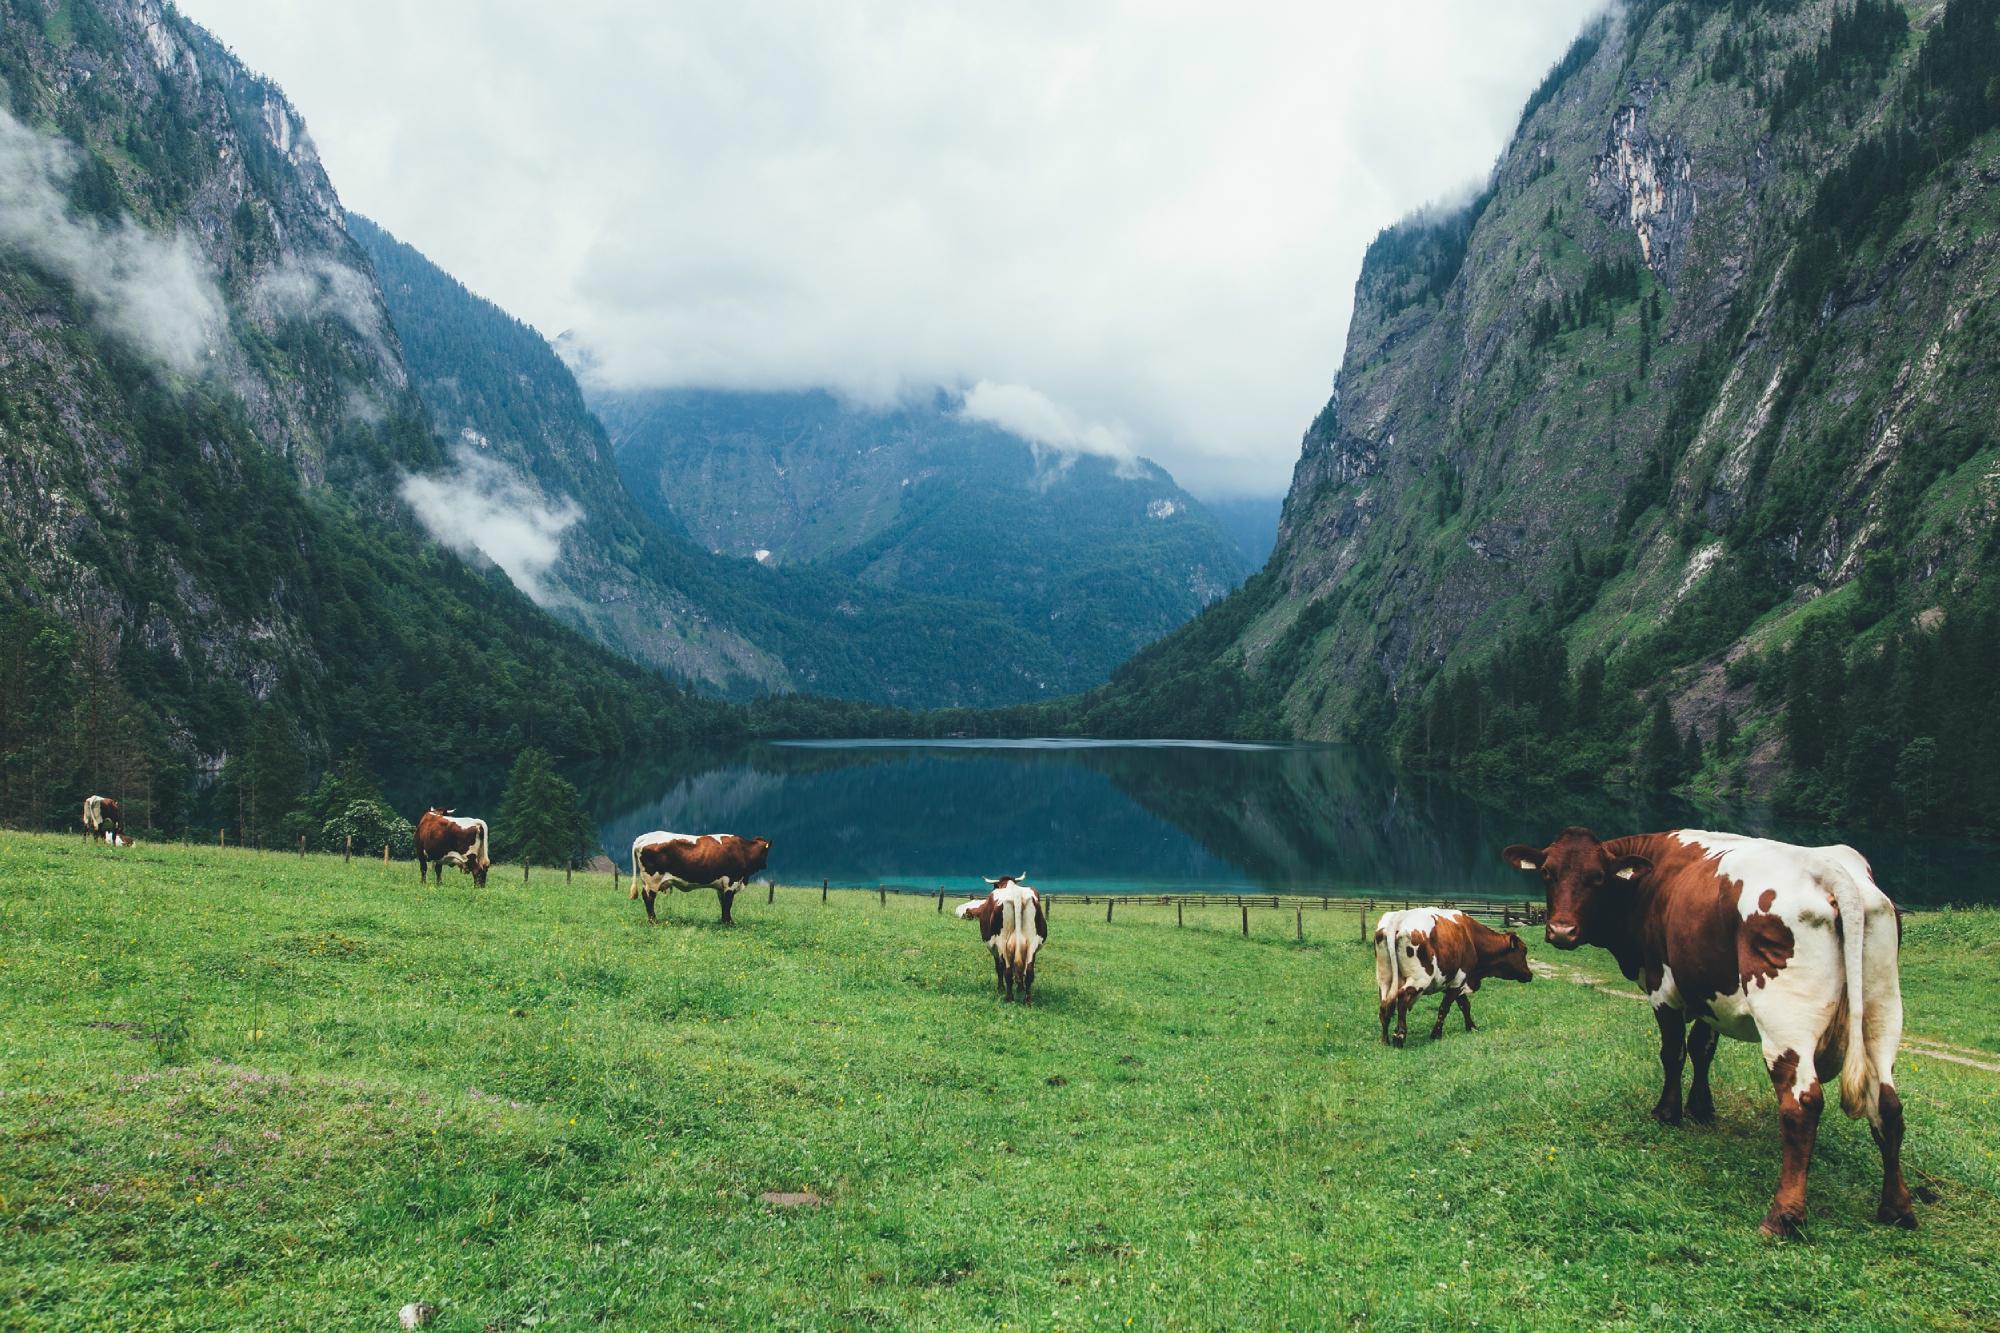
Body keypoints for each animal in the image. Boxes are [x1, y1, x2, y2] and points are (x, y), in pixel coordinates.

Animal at [628, 824, 768, 920]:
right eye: (766, 853)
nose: (766, 865)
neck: (743, 850)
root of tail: (643, 837)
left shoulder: (721, 886)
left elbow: (722, 902)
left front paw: (723, 921)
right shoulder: (731, 882)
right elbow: (728, 903)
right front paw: (729, 922)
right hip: (652, 880)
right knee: (649, 898)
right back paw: (654, 920)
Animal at [1376, 908, 1528, 1040]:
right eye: (1523, 951)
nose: (1529, 974)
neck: (1471, 936)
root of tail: (1398, 918)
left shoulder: (1453, 982)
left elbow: (1464, 1005)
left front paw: (1471, 1027)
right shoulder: (1458, 980)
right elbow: (1445, 1008)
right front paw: (1436, 1034)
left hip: (1384, 980)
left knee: (1384, 1006)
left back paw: (1385, 1040)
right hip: (1419, 979)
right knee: (1402, 998)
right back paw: (1399, 1037)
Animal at [1504, 820, 1912, 1232]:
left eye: (1597, 877)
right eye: (1547, 872)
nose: (1561, 931)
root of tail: (1828, 868)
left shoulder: (1663, 988)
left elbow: (1673, 1053)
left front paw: (1668, 1112)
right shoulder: (1707, 992)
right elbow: (1703, 1049)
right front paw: (1701, 1108)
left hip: (1786, 1019)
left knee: (1803, 1104)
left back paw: (1784, 1216)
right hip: (1882, 1010)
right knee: (1888, 1102)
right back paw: (1896, 1207)